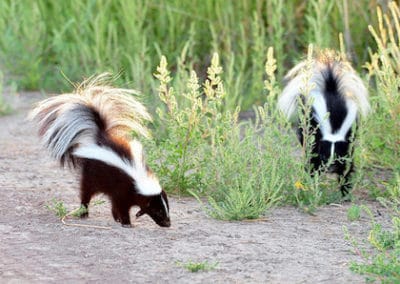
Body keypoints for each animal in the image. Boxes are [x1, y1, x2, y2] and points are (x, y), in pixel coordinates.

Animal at [29, 74, 170, 227]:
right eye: (158, 211)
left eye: (167, 208)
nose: (168, 223)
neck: (138, 177)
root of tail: (98, 137)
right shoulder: (123, 189)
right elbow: (121, 206)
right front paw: (126, 222)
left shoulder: (122, 192)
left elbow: (120, 204)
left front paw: (135, 214)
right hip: (90, 175)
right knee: (86, 193)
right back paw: (84, 213)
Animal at [278, 50, 368, 195]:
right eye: (325, 156)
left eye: (337, 156)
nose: (330, 168)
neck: (334, 129)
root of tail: (331, 88)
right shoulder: (317, 136)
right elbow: (314, 158)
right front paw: (312, 178)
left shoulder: (348, 139)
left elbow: (347, 164)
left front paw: (344, 188)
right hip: (306, 120)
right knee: (303, 137)